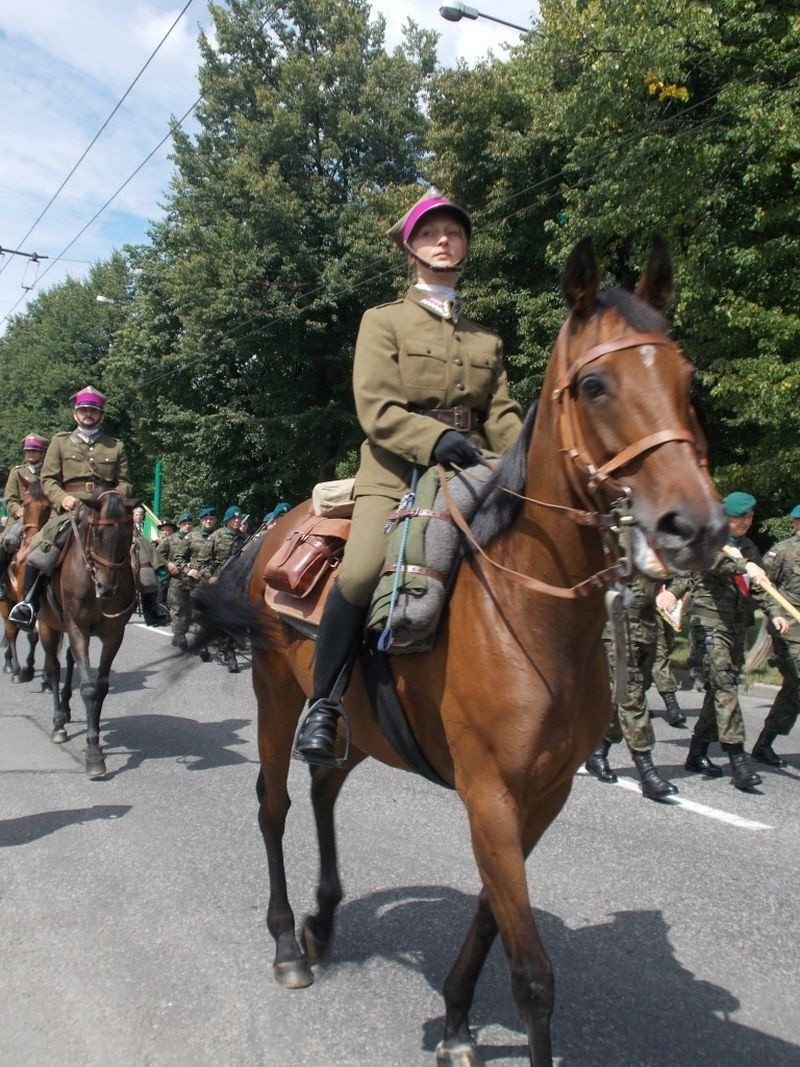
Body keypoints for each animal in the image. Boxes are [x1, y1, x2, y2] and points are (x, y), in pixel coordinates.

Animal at [0, 484, 51, 682]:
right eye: (26, 504)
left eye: (47, 506)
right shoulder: (23, 600)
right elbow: (29, 635)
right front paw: (25, 670)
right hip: (6, 601)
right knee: (10, 631)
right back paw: (12, 667)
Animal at [37, 488, 138, 776]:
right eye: (97, 533)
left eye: (128, 534)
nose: (108, 589)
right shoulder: (77, 628)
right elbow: (89, 687)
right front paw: (94, 753)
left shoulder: (114, 634)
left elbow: (101, 686)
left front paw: (95, 737)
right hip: (46, 625)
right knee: (53, 668)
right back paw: (58, 723)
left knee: (69, 661)